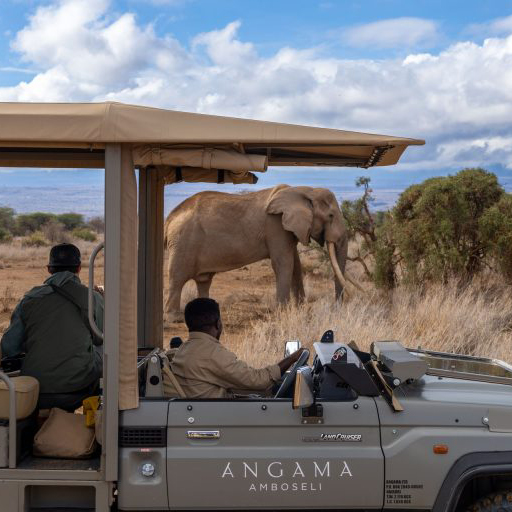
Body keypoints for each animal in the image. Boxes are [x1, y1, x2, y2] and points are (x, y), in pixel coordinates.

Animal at [163, 184, 360, 322]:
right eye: (331, 216)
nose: (336, 309)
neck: (305, 190)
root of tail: (169, 218)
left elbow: (296, 265)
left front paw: (301, 310)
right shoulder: (275, 226)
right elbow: (284, 263)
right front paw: (284, 312)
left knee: (203, 280)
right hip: (183, 242)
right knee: (177, 278)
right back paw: (175, 318)